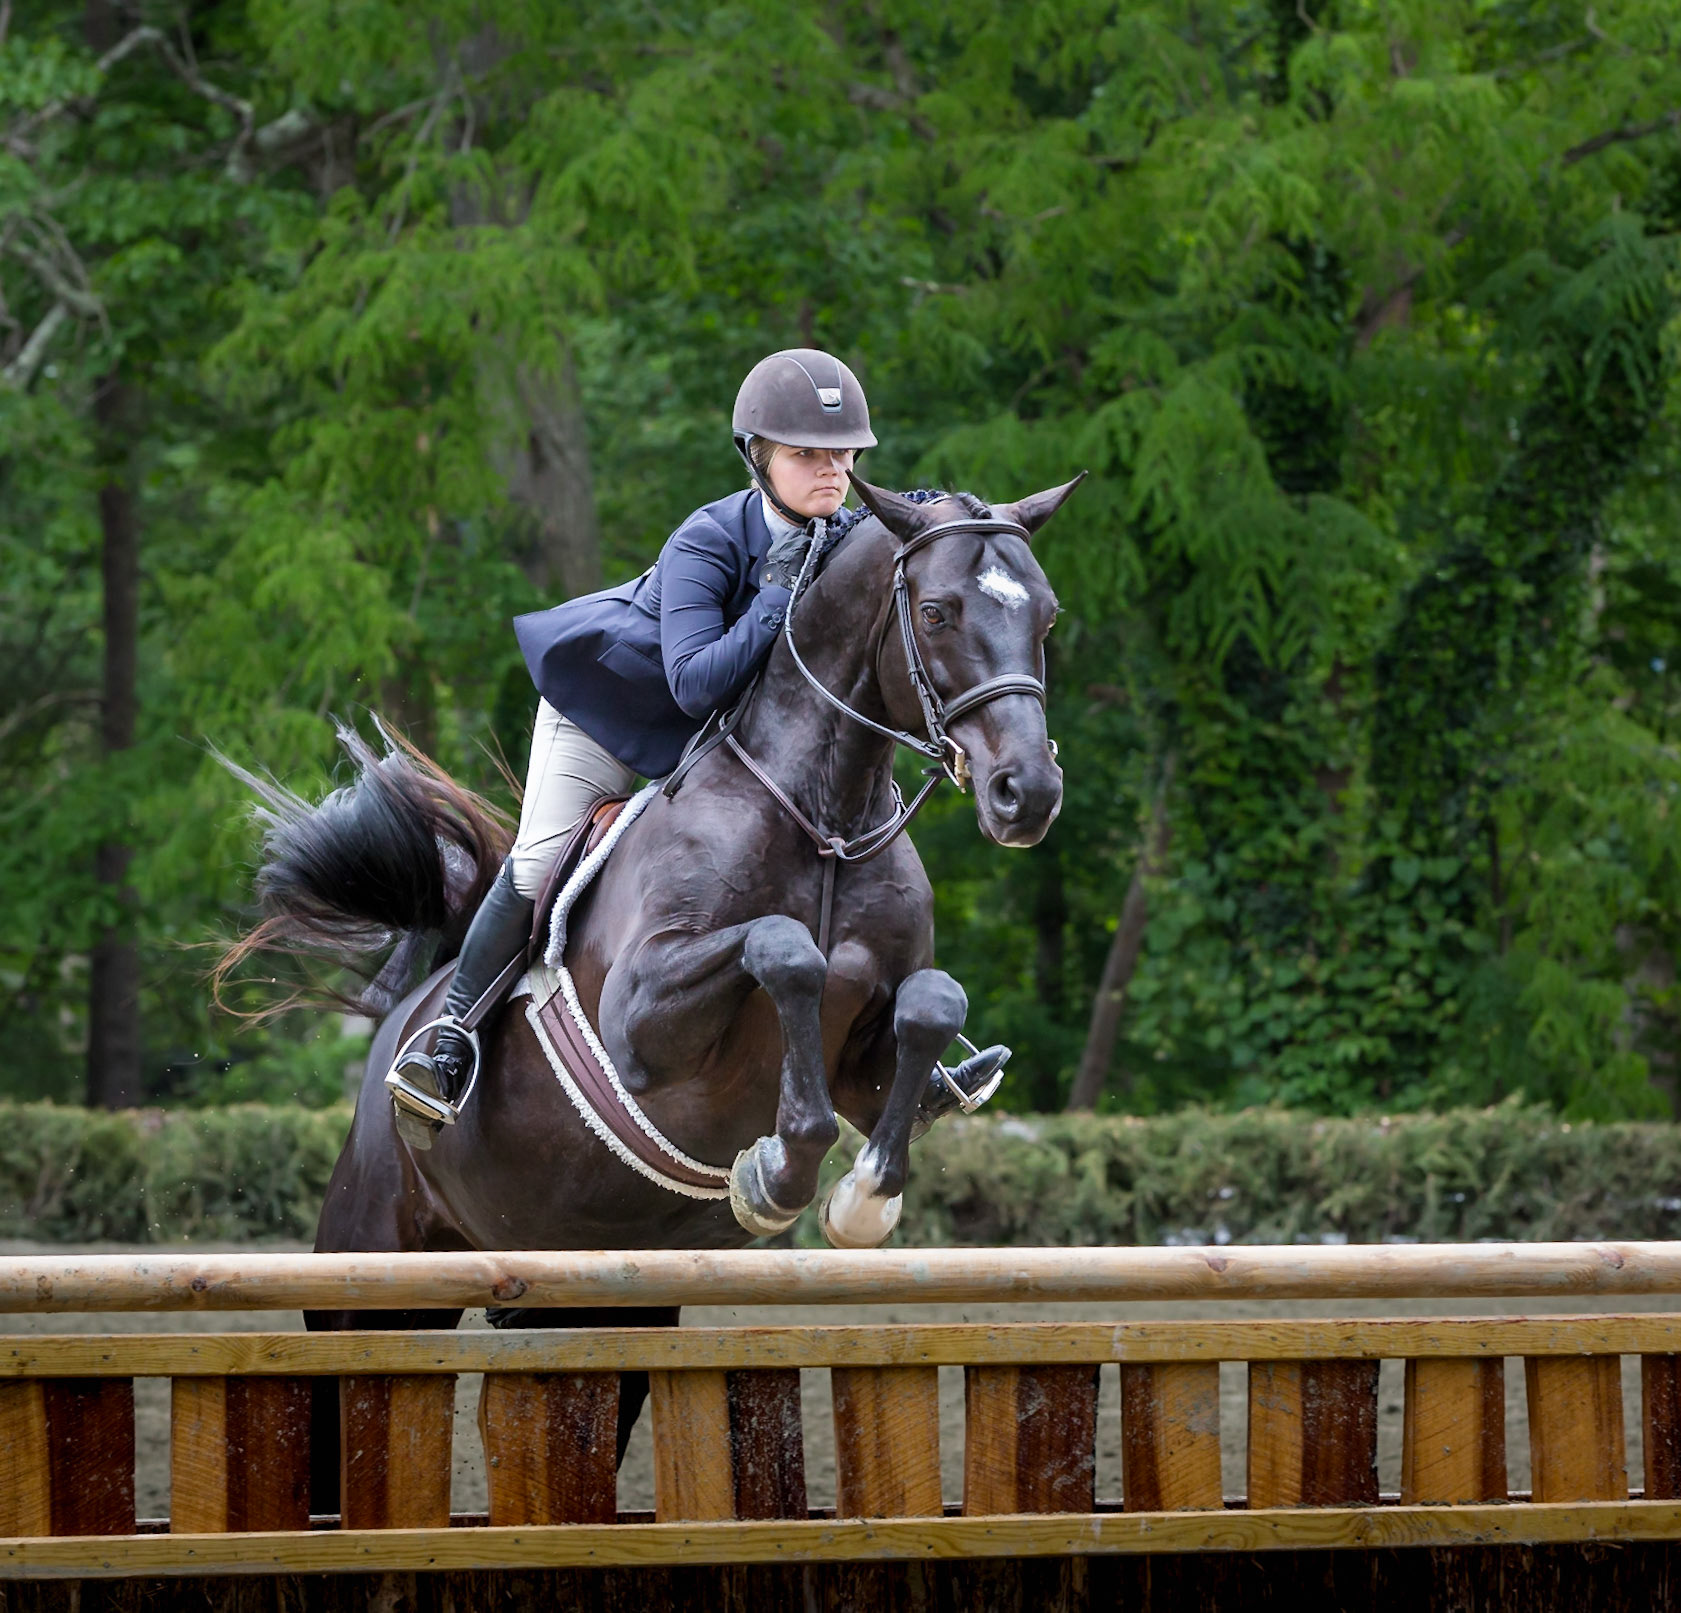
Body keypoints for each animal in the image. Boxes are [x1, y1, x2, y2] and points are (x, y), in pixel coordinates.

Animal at [226, 472, 1078, 1505]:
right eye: (938, 610)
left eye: (1045, 614)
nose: (1024, 794)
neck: (827, 817)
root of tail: (404, 1014)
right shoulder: (642, 1024)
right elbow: (786, 950)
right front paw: (778, 1173)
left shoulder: (868, 1051)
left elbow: (928, 1005)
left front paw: (862, 1196)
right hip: (370, 1278)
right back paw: (437, 1066)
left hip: (600, 1299)